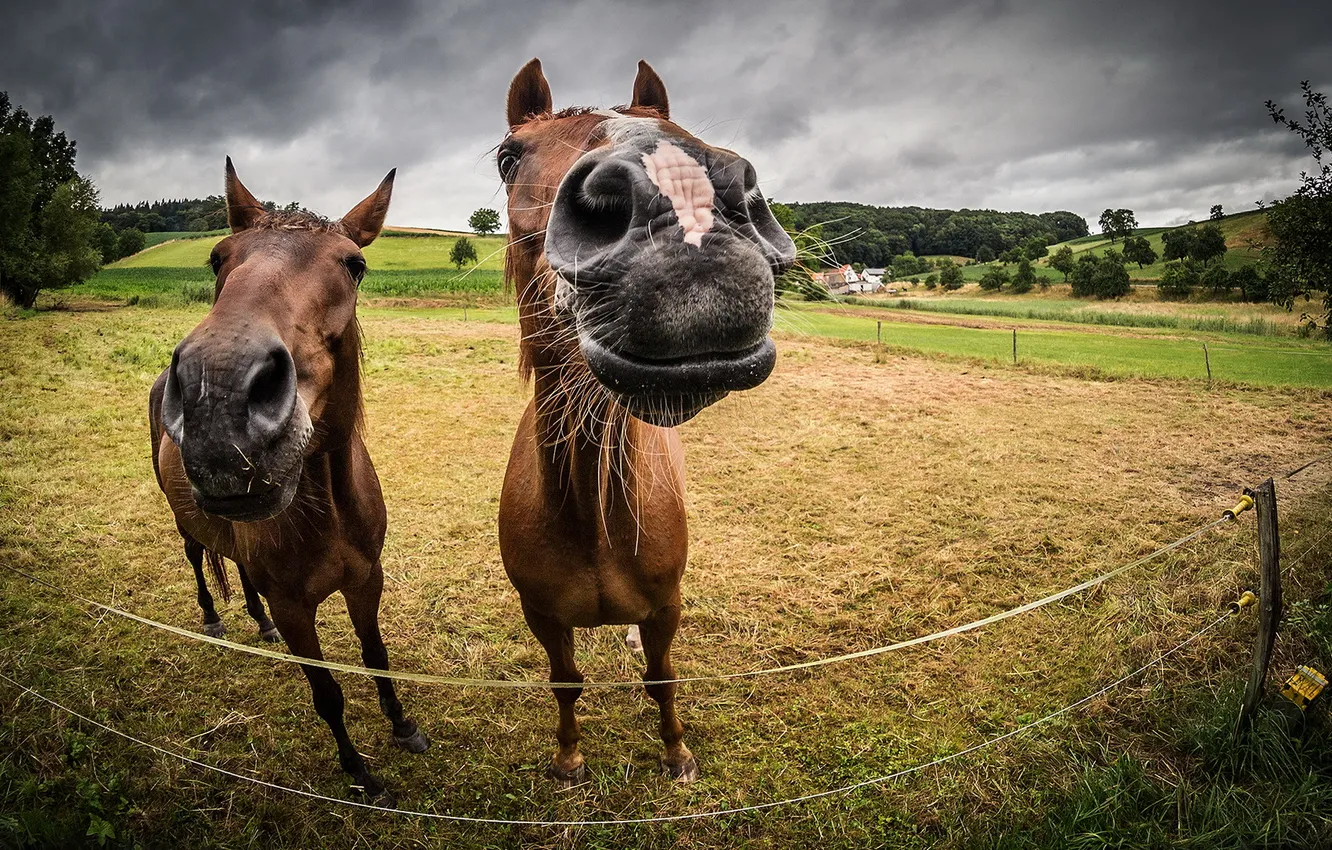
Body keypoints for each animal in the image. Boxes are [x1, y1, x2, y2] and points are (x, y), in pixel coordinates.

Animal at [148, 159, 428, 805]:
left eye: (354, 265)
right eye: (217, 258)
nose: (217, 393)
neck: (328, 510)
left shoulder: (366, 580)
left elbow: (376, 655)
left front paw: (404, 727)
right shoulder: (298, 606)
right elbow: (327, 694)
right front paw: (359, 771)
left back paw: (259, 622)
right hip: (184, 523)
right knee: (199, 559)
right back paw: (215, 618)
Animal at [496, 59, 795, 785]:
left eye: (675, 128)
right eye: (508, 157)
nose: (678, 198)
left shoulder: (667, 608)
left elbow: (662, 678)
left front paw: (677, 754)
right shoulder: (541, 615)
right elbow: (565, 682)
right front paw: (569, 758)